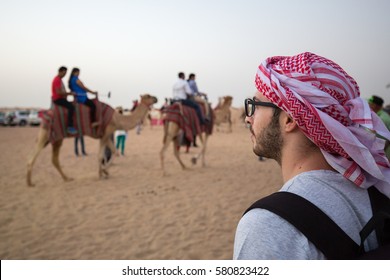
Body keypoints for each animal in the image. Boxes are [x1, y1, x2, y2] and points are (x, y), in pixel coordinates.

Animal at [26, 93, 158, 186]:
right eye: (148, 95)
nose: (156, 98)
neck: (117, 119)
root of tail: (45, 115)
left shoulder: (105, 135)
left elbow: (113, 152)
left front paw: (105, 172)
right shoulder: (106, 133)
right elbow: (101, 155)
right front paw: (101, 173)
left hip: (57, 139)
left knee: (54, 159)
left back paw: (67, 178)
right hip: (45, 134)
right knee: (34, 156)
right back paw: (30, 183)